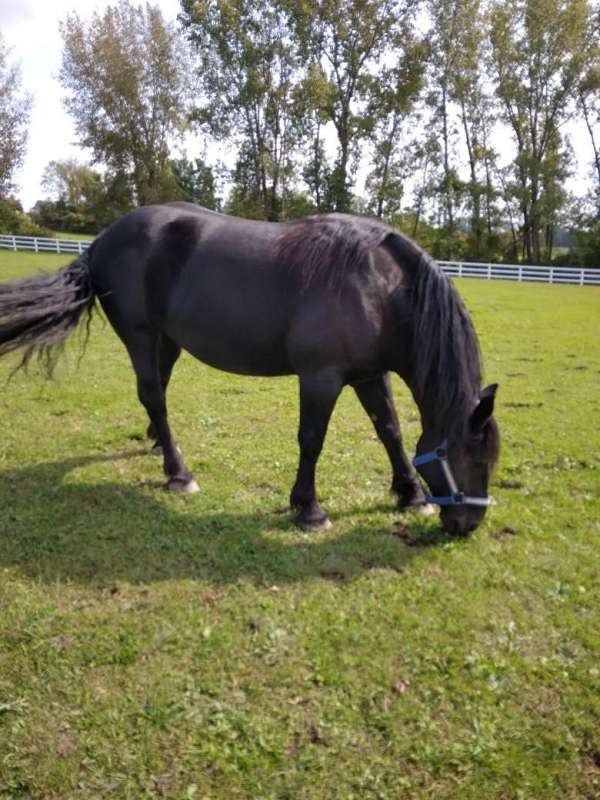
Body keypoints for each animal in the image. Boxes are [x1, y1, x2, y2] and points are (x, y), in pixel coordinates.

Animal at [0, 203, 500, 536]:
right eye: (475, 458)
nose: (468, 524)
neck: (378, 288)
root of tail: (100, 242)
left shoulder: (370, 375)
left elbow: (391, 431)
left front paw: (410, 494)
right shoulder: (321, 378)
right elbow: (312, 440)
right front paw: (308, 509)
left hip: (167, 341)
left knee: (157, 391)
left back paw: (159, 446)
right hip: (140, 336)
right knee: (153, 395)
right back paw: (178, 473)